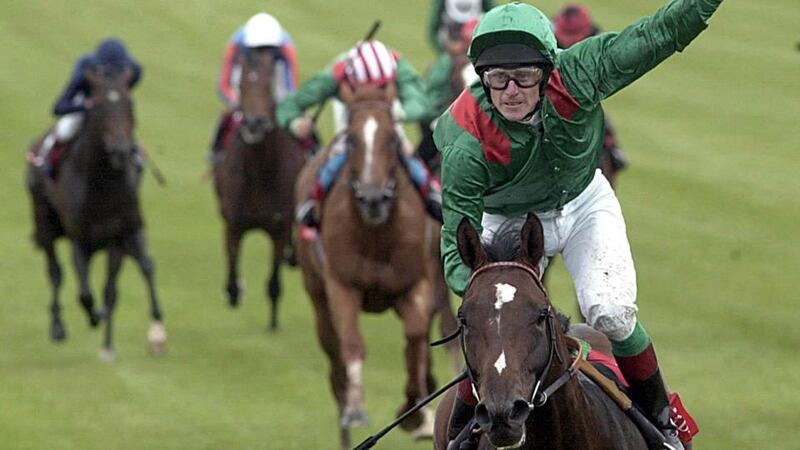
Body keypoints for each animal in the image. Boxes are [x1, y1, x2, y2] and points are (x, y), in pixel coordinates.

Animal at [25, 67, 166, 362]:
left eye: (129, 104)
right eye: (99, 107)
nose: (121, 150)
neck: (103, 187)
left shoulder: (125, 235)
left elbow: (136, 274)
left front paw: (152, 330)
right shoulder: (81, 242)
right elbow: (85, 294)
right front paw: (95, 316)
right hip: (44, 221)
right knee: (55, 271)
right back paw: (58, 326)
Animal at [212, 46, 304, 330]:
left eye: (267, 85)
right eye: (241, 85)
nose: (254, 123)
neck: (260, 174)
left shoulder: (279, 228)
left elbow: (274, 284)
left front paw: (273, 323)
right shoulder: (233, 224)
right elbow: (232, 279)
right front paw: (235, 293)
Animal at [296, 82, 438, 448]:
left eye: (392, 139)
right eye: (351, 140)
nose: (374, 199)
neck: (376, 235)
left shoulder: (415, 283)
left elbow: (416, 337)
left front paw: (414, 411)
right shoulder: (341, 285)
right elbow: (351, 343)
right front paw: (356, 409)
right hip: (316, 295)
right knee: (334, 358)